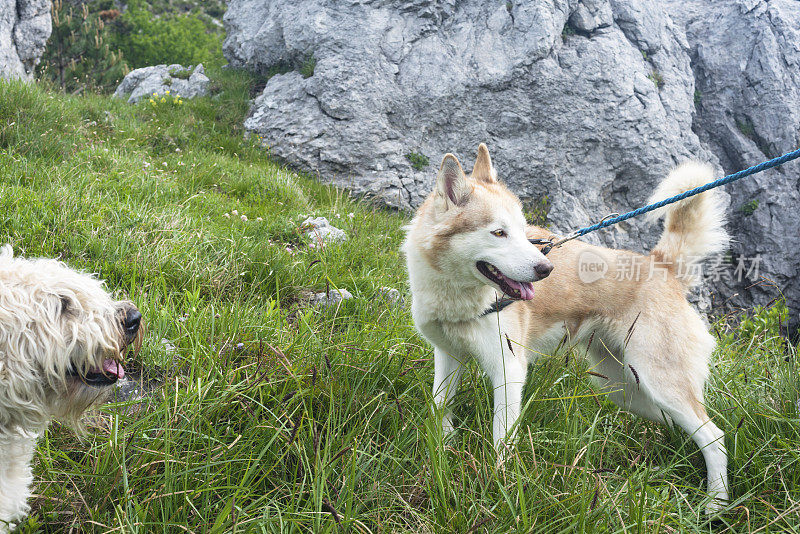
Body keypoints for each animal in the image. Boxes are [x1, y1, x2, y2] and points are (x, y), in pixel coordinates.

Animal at [406, 146, 732, 516]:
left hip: (659, 383)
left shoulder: (509, 371)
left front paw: (499, 486)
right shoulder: (448, 357)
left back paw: (716, 505)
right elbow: (440, 409)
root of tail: (661, 265)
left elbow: (502, 439)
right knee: (686, 428)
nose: (545, 268)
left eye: (522, 231)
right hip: (626, 390)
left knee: (715, 437)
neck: (459, 299)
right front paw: (442, 452)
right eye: (499, 233)